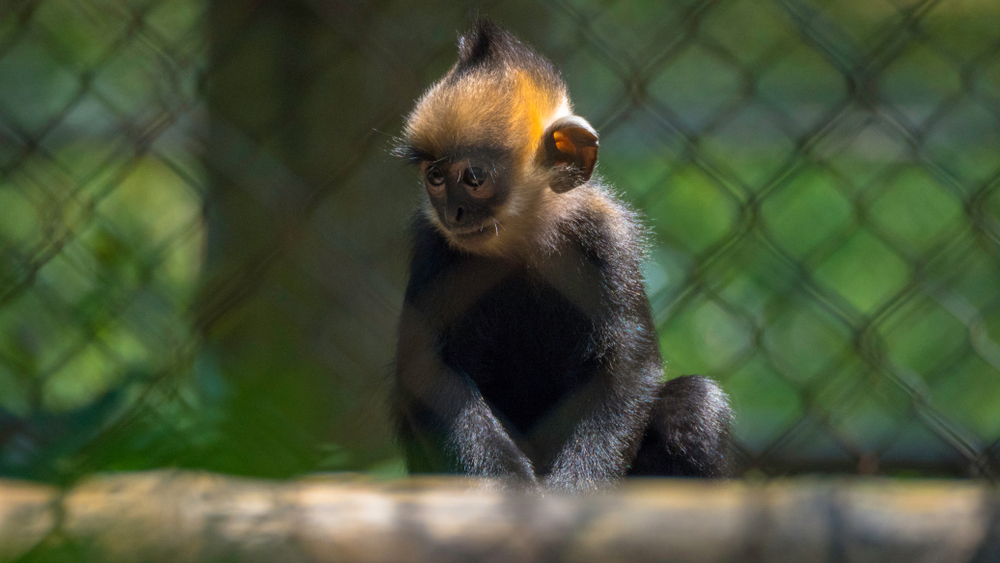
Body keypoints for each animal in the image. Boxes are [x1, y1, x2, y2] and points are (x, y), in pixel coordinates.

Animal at [392, 19, 736, 492]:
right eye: (436, 177)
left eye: (474, 177)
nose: (453, 212)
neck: (521, 240)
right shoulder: (432, 245)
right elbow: (426, 368)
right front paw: (509, 485)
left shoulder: (608, 236)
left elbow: (627, 368)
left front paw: (576, 490)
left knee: (699, 407)